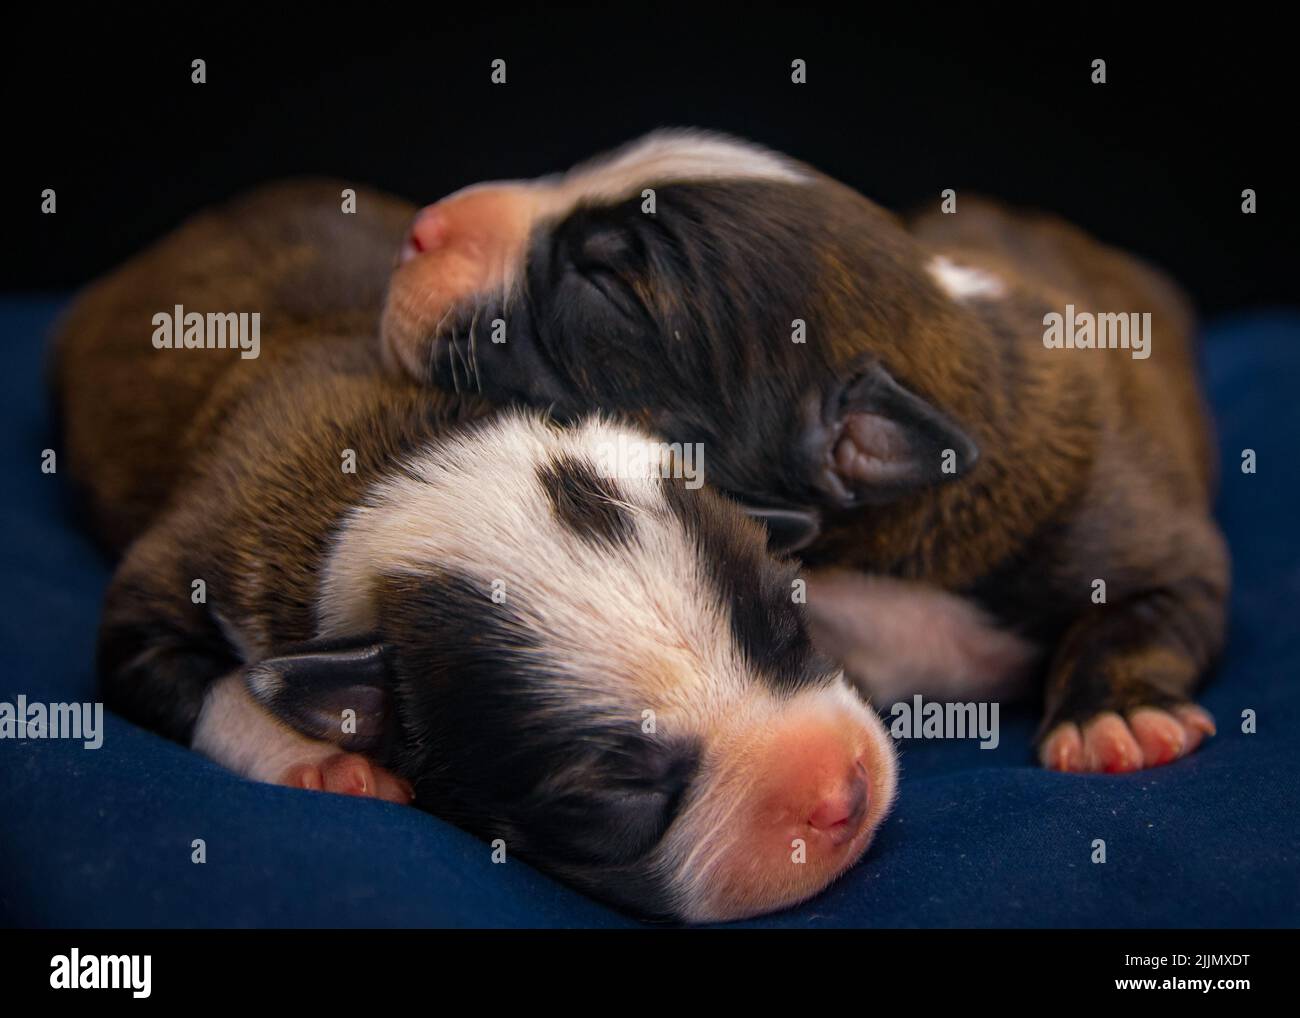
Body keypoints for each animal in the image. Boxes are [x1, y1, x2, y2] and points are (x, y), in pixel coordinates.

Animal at [53, 180, 904, 925]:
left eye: (792, 625)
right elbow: (195, 678)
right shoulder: (186, 565)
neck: (413, 460)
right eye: (611, 797)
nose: (845, 792)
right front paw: (309, 758)